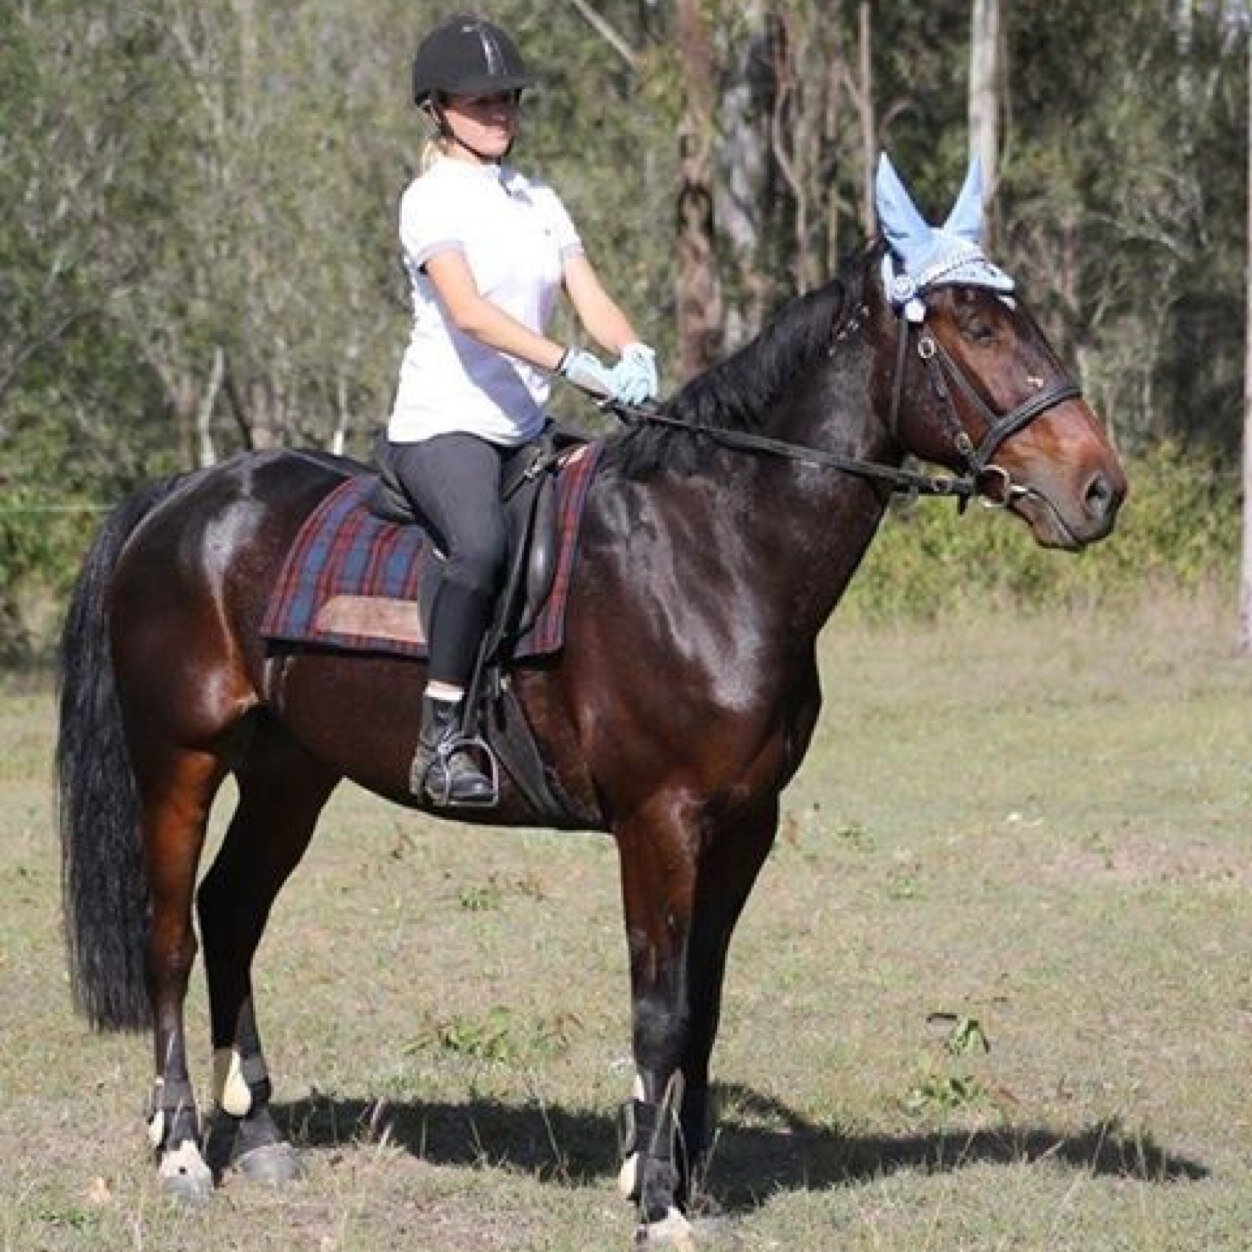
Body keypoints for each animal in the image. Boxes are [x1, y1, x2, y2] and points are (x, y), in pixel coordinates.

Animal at [56, 162, 1125, 1243]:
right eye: (974, 328)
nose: (1099, 488)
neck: (714, 547)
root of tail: (181, 497)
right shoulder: (659, 823)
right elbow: (658, 1010)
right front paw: (655, 1203)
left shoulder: (745, 825)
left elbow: (703, 1005)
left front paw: (683, 1178)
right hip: (180, 759)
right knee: (172, 936)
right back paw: (183, 1149)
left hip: (290, 771)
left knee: (233, 911)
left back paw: (263, 1136)